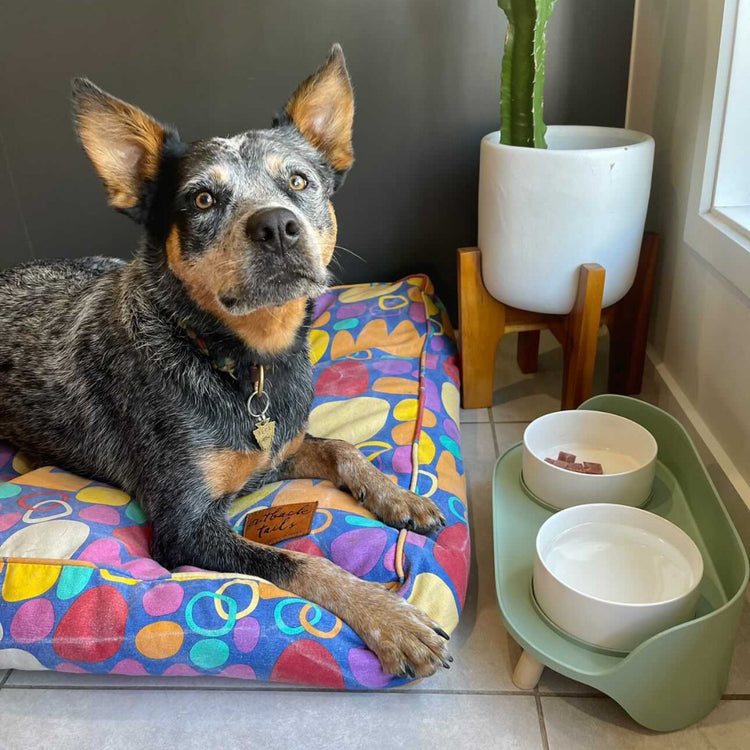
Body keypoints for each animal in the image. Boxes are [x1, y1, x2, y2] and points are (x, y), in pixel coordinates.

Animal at [0, 47, 452, 680]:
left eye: (298, 180)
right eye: (202, 199)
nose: (277, 225)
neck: (246, 363)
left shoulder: (280, 448)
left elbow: (343, 447)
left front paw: (400, 497)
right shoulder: (185, 528)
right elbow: (298, 561)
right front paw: (391, 617)